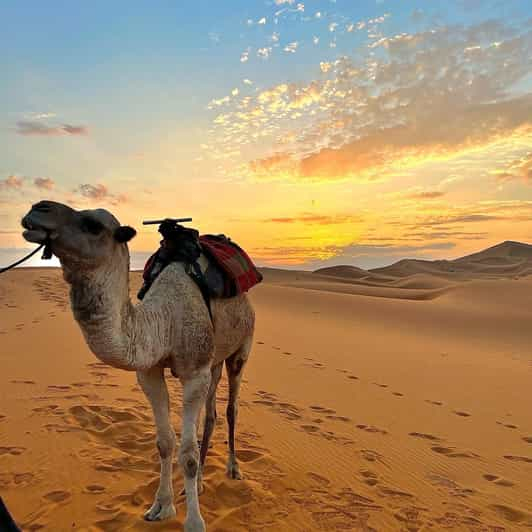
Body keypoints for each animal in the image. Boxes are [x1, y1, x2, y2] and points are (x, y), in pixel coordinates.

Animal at [23, 201, 256, 532]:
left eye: (92, 225)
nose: (38, 209)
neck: (165, 320)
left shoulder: (194, 372)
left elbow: (187, 454)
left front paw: (194, 522)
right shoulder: (150, 372)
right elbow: (165, 442)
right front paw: (161, 506)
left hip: (241, 347)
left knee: (231, 408)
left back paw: (233, 469)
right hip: (214, 360)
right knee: (210, 414)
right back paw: (198, 483)